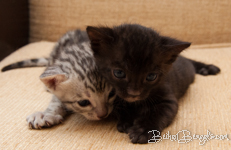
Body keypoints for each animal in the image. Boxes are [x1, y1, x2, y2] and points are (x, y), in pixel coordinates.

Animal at [85, 24, 219, 144]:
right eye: (119, 73)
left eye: (151, 76)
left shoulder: (168, 99)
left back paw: (207, 68)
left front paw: (144, 130)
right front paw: (127, 120)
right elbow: (120, 107)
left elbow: (158, 113)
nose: (134, 93)